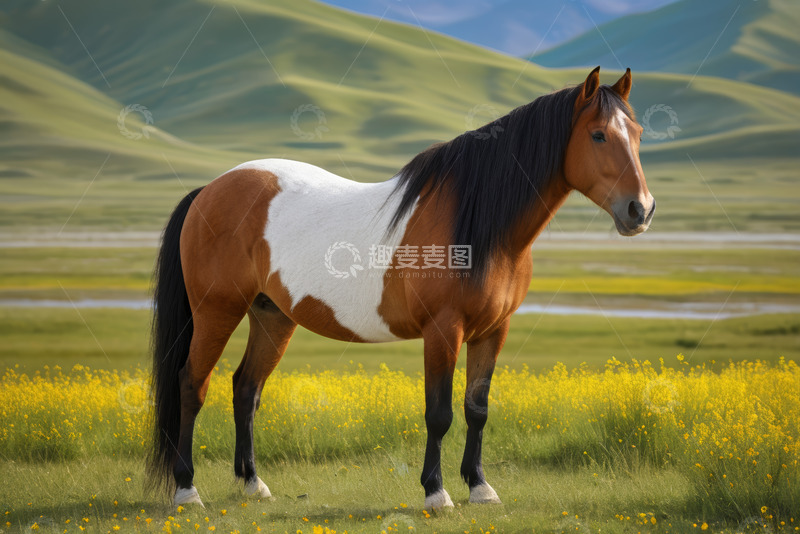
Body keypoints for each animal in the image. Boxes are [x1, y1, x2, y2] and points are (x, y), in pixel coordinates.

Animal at [148, 66, 655, 509]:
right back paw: (187, 489)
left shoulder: (494, 331)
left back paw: (253, 483)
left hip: (272, 315)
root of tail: (210, 189)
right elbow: (440, 413)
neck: (477, 225)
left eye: (638, 133)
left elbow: (477, 408)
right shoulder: (442, 331)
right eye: (598, 135)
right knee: (192, 384)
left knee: (246, 388)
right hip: (217, 310)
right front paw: (436, 492)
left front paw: (480, 487)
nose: (641, 210)